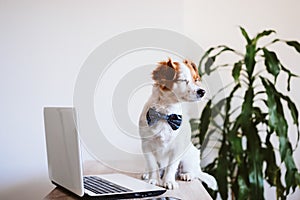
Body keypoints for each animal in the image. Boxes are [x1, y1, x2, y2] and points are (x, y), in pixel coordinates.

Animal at [138, 57, 218, 190]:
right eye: (183, 80)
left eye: (196, 80)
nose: (202, 91)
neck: (166, 114)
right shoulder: (146, 145)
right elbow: (152, 165)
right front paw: (154, 180)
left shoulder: (177, 148)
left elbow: (171, 167)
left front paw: (168, 181)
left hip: (189, 158)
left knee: (194, 172)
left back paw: (186, 175)